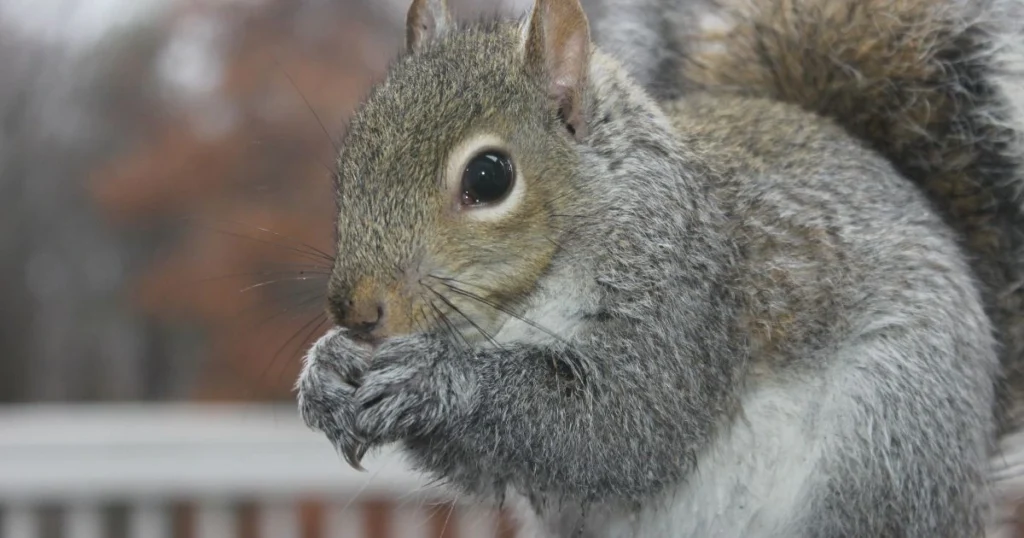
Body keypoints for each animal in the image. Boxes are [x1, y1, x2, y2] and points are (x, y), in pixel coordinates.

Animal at [294, 0, 1024, 532]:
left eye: (489, 176)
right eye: (351, 156)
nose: (356, 310)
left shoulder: (689, 302)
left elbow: (628, 426)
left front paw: (437, 379)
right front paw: (328, 369)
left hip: (888, 438)